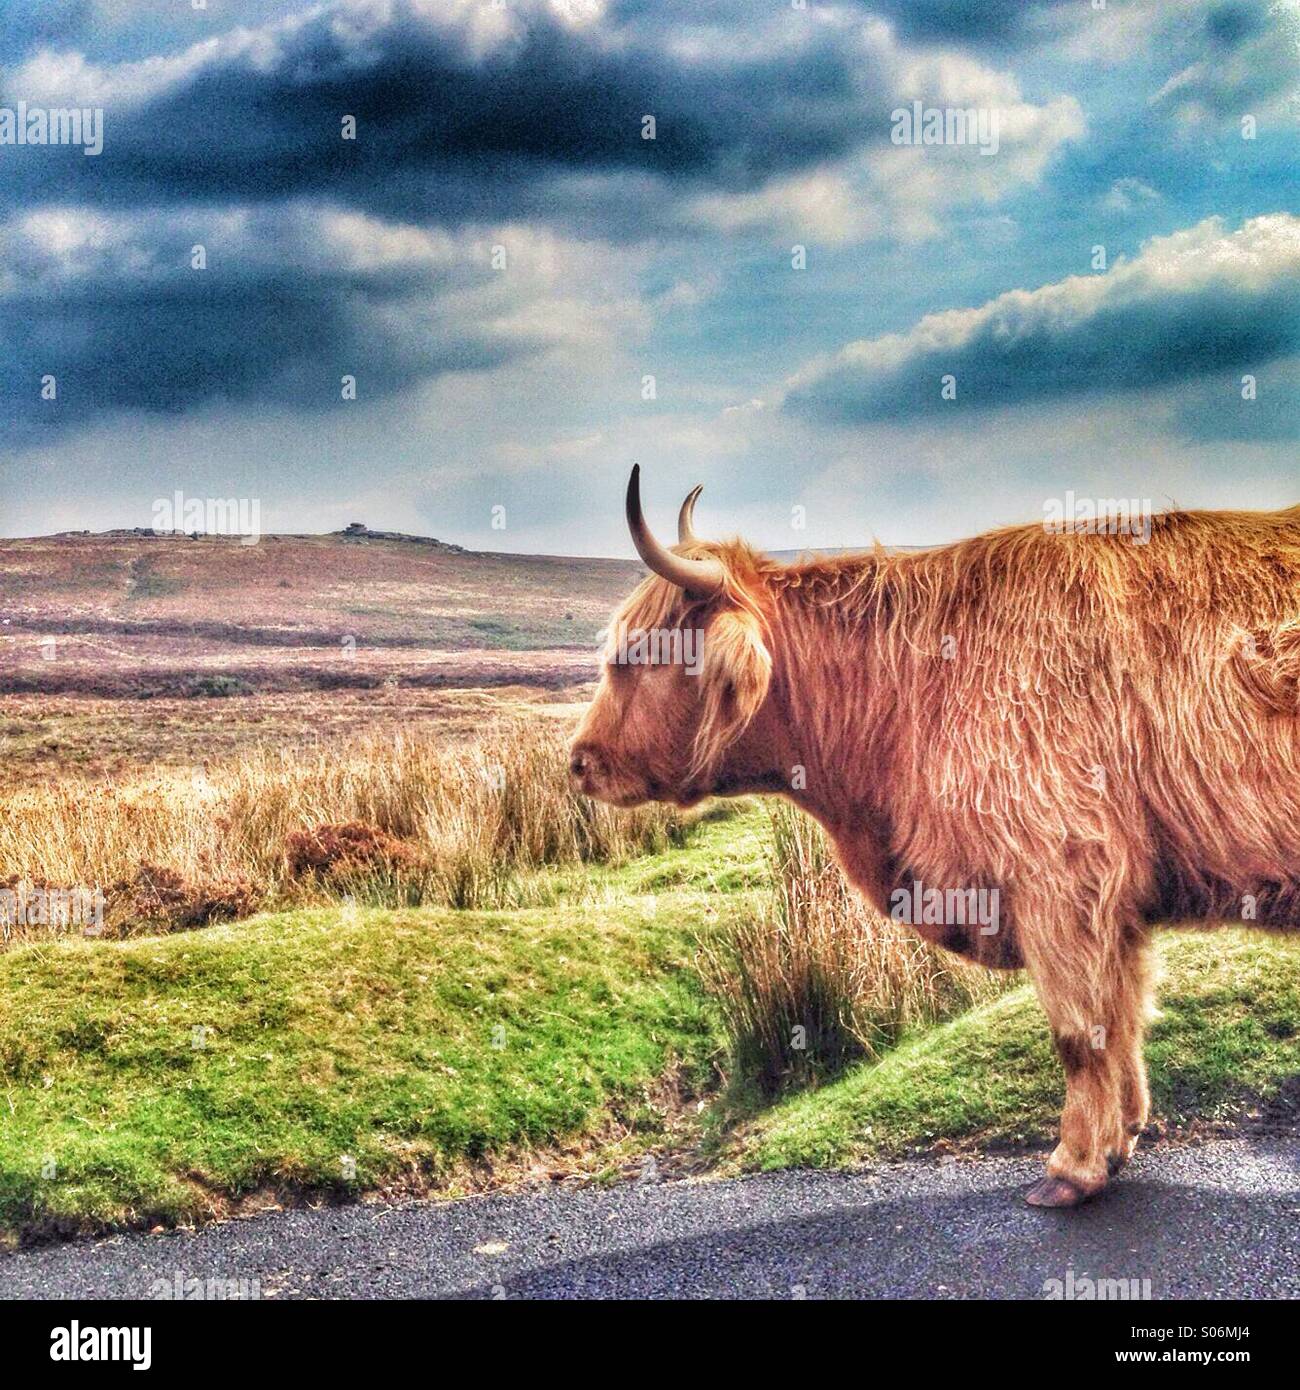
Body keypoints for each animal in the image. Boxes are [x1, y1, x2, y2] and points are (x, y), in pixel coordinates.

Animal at [570, 466, 1300, 1207]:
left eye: (639, 654)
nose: (579, 760)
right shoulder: (1113, 901)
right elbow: (1121, 1018)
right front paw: (1120, 1138)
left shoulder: (1060, 879)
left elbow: (1078, 1031)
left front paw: (1072, 1167)